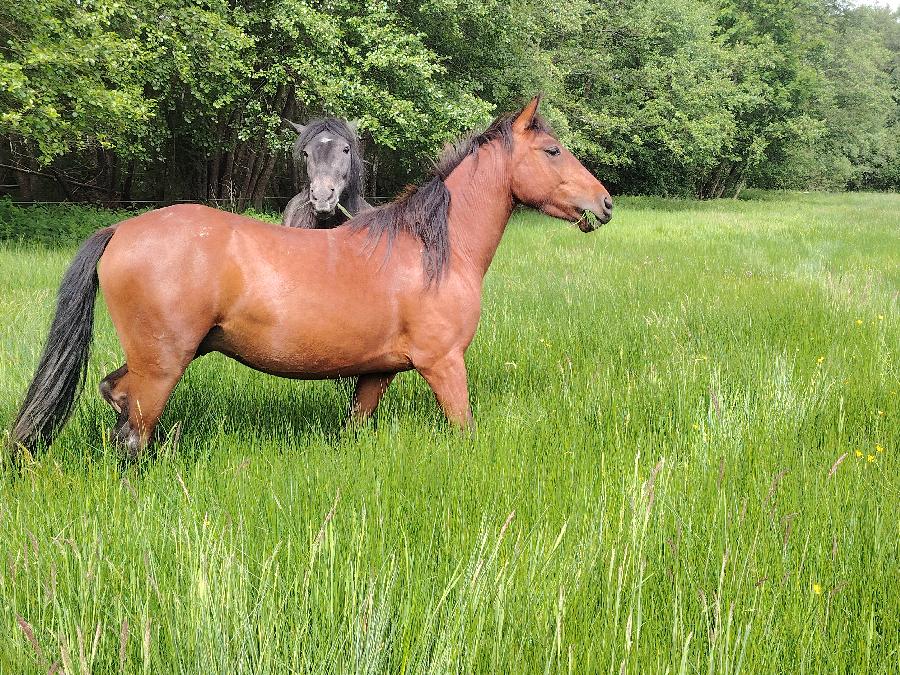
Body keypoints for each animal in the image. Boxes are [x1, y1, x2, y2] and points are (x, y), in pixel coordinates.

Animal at [7, 96, 613, 461]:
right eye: (552, 150)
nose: (604, 204)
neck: (430, 249)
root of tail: (122, 229)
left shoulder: (375, 374)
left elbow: (356, 425)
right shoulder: (444, 365)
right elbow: (463, 425)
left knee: (114, 397)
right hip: (162, 367)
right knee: (134, 431)